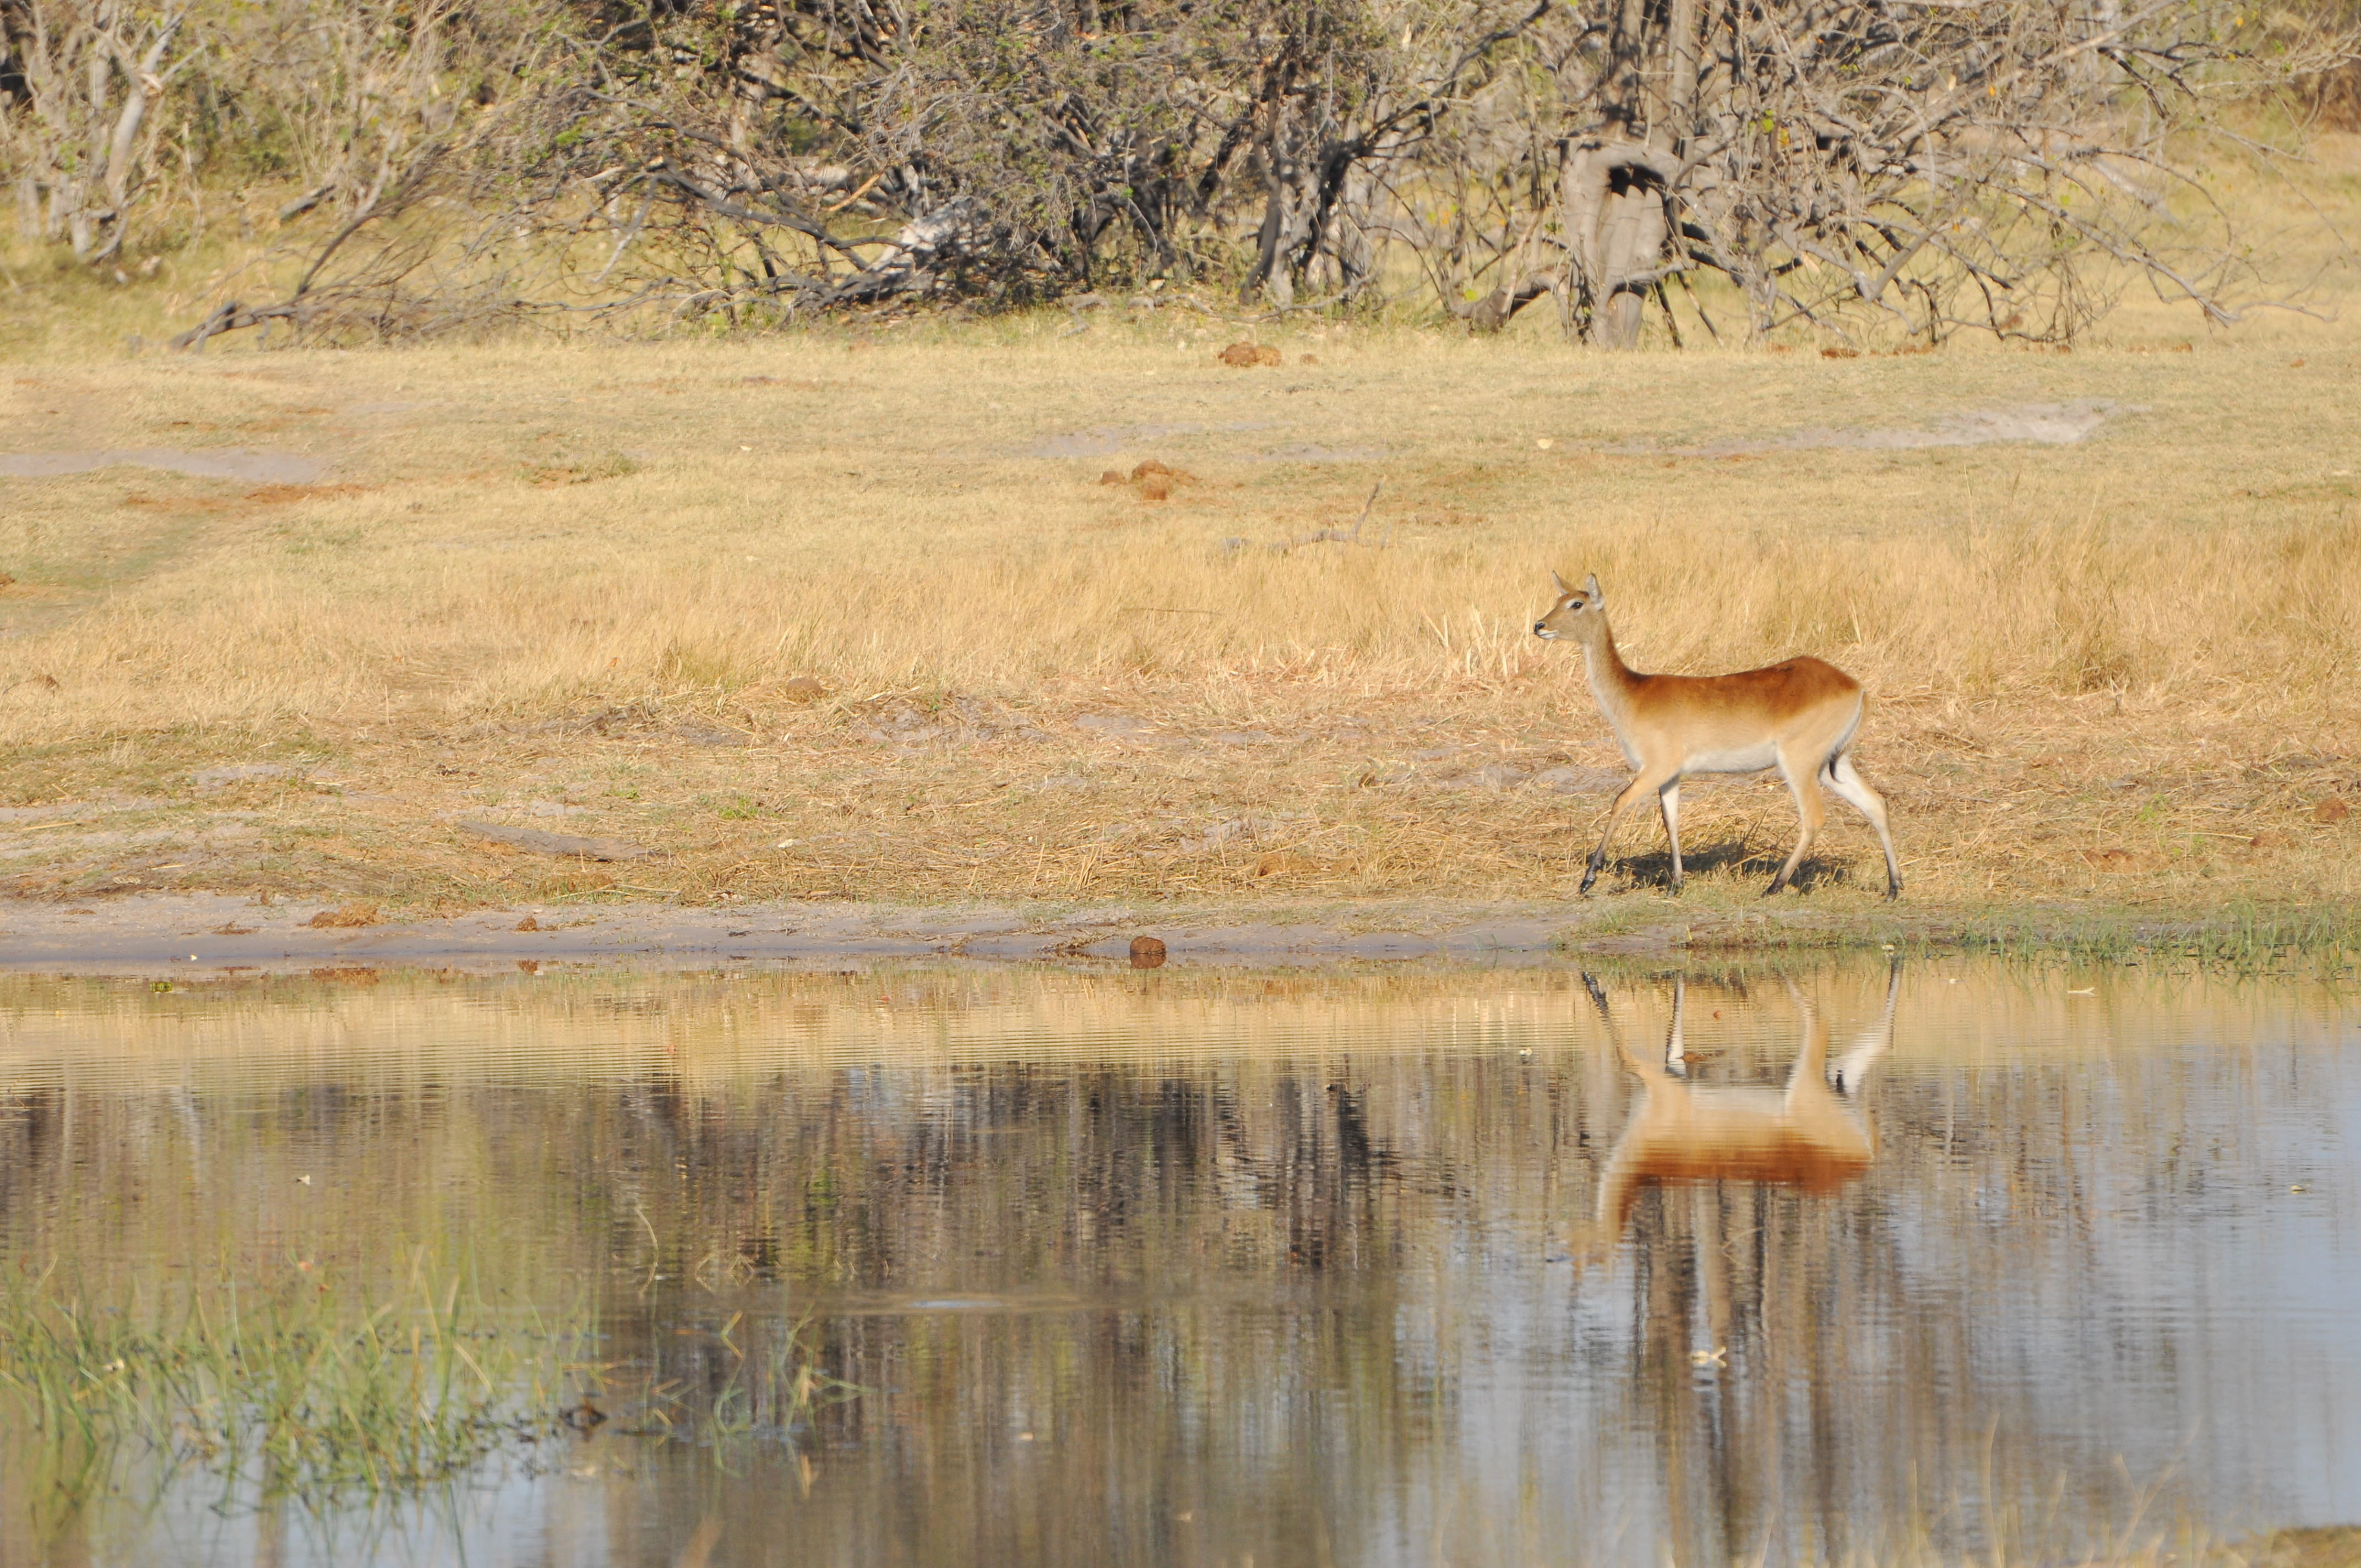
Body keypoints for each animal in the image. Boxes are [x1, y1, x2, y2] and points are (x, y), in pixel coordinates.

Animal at [1530, 574, 1898, 892]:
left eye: (1577, 603)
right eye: (1558, 598)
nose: (1539, 626)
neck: (1635, 693)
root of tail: (1856, 687)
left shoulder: (1657, 767)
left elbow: (1620, 802)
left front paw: (1588, 879)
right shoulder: (1671, 775)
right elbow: (1671, 819)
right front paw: (1677, 883)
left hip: (1799, 763)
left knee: (1814, 817)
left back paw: (1774, 886)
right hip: (1833, 764)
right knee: (1876, 803)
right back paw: (1894, 888)